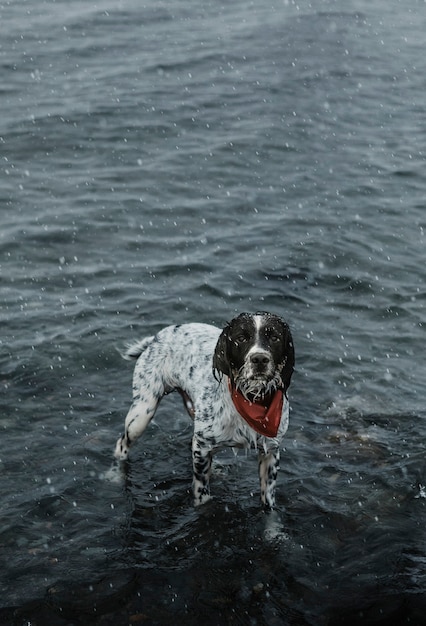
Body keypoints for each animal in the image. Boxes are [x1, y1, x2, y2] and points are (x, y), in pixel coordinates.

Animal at [115, 312, 294, 508]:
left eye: (275, 337)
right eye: (241, 338)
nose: (260, 359)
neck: (250, 400)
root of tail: (156, 337)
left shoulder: (271, 452)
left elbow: (268, 501)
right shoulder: (202, 446)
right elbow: (202, 492)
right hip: (141, 414)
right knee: (121, 444)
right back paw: (114, 475)